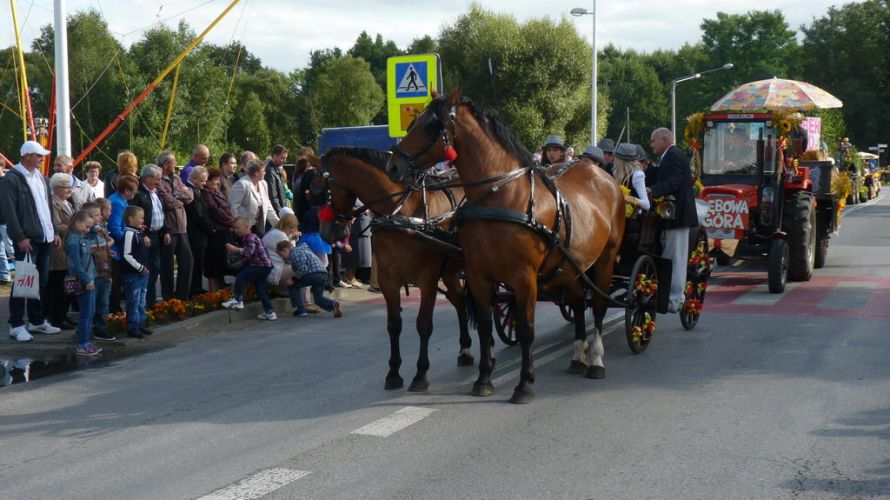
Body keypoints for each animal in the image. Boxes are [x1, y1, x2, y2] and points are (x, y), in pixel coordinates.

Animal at [306, 146, 472, 392]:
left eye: (317, 189)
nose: (325, 233)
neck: (403, 214)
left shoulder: (428, 279)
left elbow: (423, 324)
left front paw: (420, 374)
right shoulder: (388, 279)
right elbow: (394, 325)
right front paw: (393, 372)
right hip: (451, 270)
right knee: (461, 301)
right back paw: (465, 349)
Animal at [384, 89, 624, 402]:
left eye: (429, 126)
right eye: (412, 123)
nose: (392, 166)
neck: (502, 196)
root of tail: (601, 175)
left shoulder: (524, 278)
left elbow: (526, 330)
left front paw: (524, 384)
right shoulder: (479, 275)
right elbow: (486, 326)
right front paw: (484, 378)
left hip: (606, 259)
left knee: (597, 306)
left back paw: (595, 359)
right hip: (570, 266)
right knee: (577, 302)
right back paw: (577, 357)